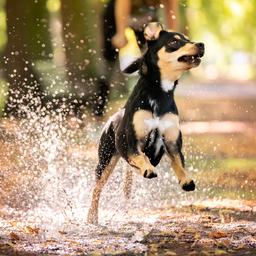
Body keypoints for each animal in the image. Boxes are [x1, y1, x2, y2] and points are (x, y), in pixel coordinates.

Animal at [87, 23, 204, 225]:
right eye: (174, 42)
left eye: (188, 39)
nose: (201, 44)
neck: (159, 93)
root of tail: (112, 117)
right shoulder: (133, 141)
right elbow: (141, 156)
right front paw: (149, 168)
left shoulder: (172, 143)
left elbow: (179, 164)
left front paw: (185, 180)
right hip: (105, 160)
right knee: (97, 189)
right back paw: (91, 216)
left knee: (127, 184)